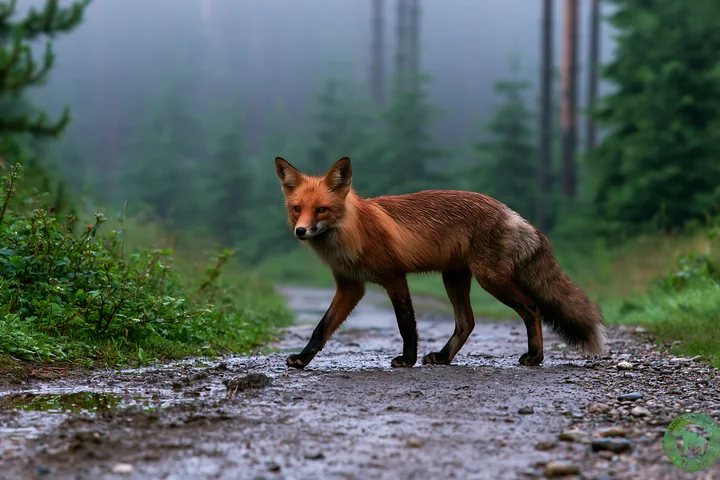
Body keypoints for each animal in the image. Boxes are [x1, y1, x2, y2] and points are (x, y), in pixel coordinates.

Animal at [274, 156, 606, 370]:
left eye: (321, 209)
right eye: (297, 208)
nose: (300, 231)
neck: (352, 234)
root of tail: (510, 211)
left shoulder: (394, 277)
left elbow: (406, 324)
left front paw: (407, 360)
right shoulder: (350, 286)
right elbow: (321, 328)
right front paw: (302, 359)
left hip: (491, 280)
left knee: (532, 308)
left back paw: (534, 357)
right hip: (454, 278)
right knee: (467, 322)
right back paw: (444, 357)